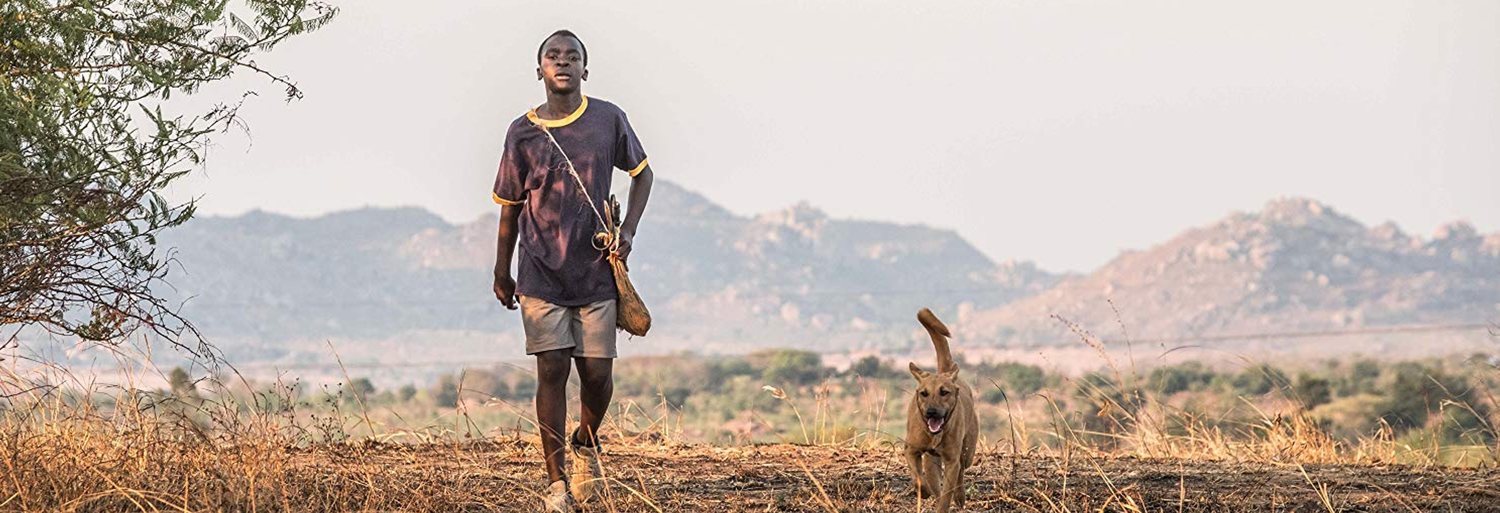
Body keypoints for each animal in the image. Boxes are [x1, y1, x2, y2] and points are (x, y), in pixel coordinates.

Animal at [906, 306, 978, 510]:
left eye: (944, 392)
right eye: (923, 393)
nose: (931, 412)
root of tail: (945, 370)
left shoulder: (952, 460)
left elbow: (947, 495)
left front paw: (947, 502)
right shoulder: (911, 450)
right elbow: (919, 479)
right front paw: (924, 492)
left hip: (967, 452)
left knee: (961, 472)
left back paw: (960, 497)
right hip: (932, 462)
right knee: (933, 480)